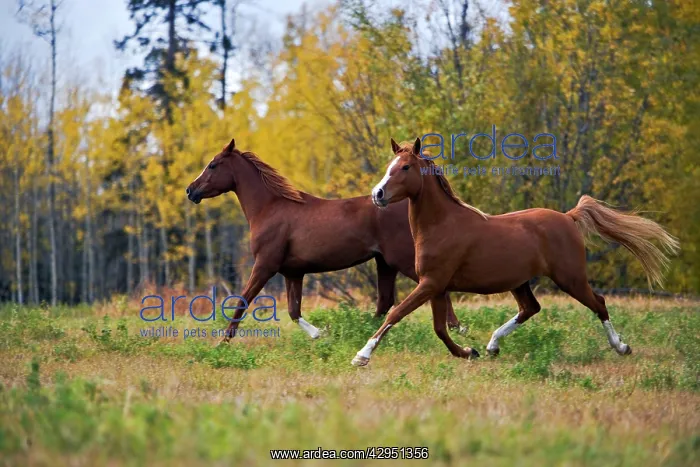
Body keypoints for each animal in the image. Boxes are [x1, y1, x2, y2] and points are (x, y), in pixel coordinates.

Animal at [185, 138, 463, 341]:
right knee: (385, 302)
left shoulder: (265, 265)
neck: (270, 208)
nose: (190, 190)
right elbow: (293, 311)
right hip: (384, 263)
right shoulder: (293, 273)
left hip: (401, 260)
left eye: (213, 165)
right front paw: (321, 333)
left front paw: (223, 341)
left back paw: (457, 327)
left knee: (433, 288)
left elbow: (243, 301)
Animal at [350, 138, 679, 367]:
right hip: (520, 282)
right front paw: (468, 352)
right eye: (389, 167)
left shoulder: (431, 283)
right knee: (530, 308)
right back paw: (492, 345)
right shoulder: (437, 287)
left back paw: (622, 347)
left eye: (405, 167)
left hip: (570, 278)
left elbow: (397, 312)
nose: (377, 194)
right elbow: (440, 329)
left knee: (598, 303)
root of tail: (568, 217)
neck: (442, 225)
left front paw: (361, 356)